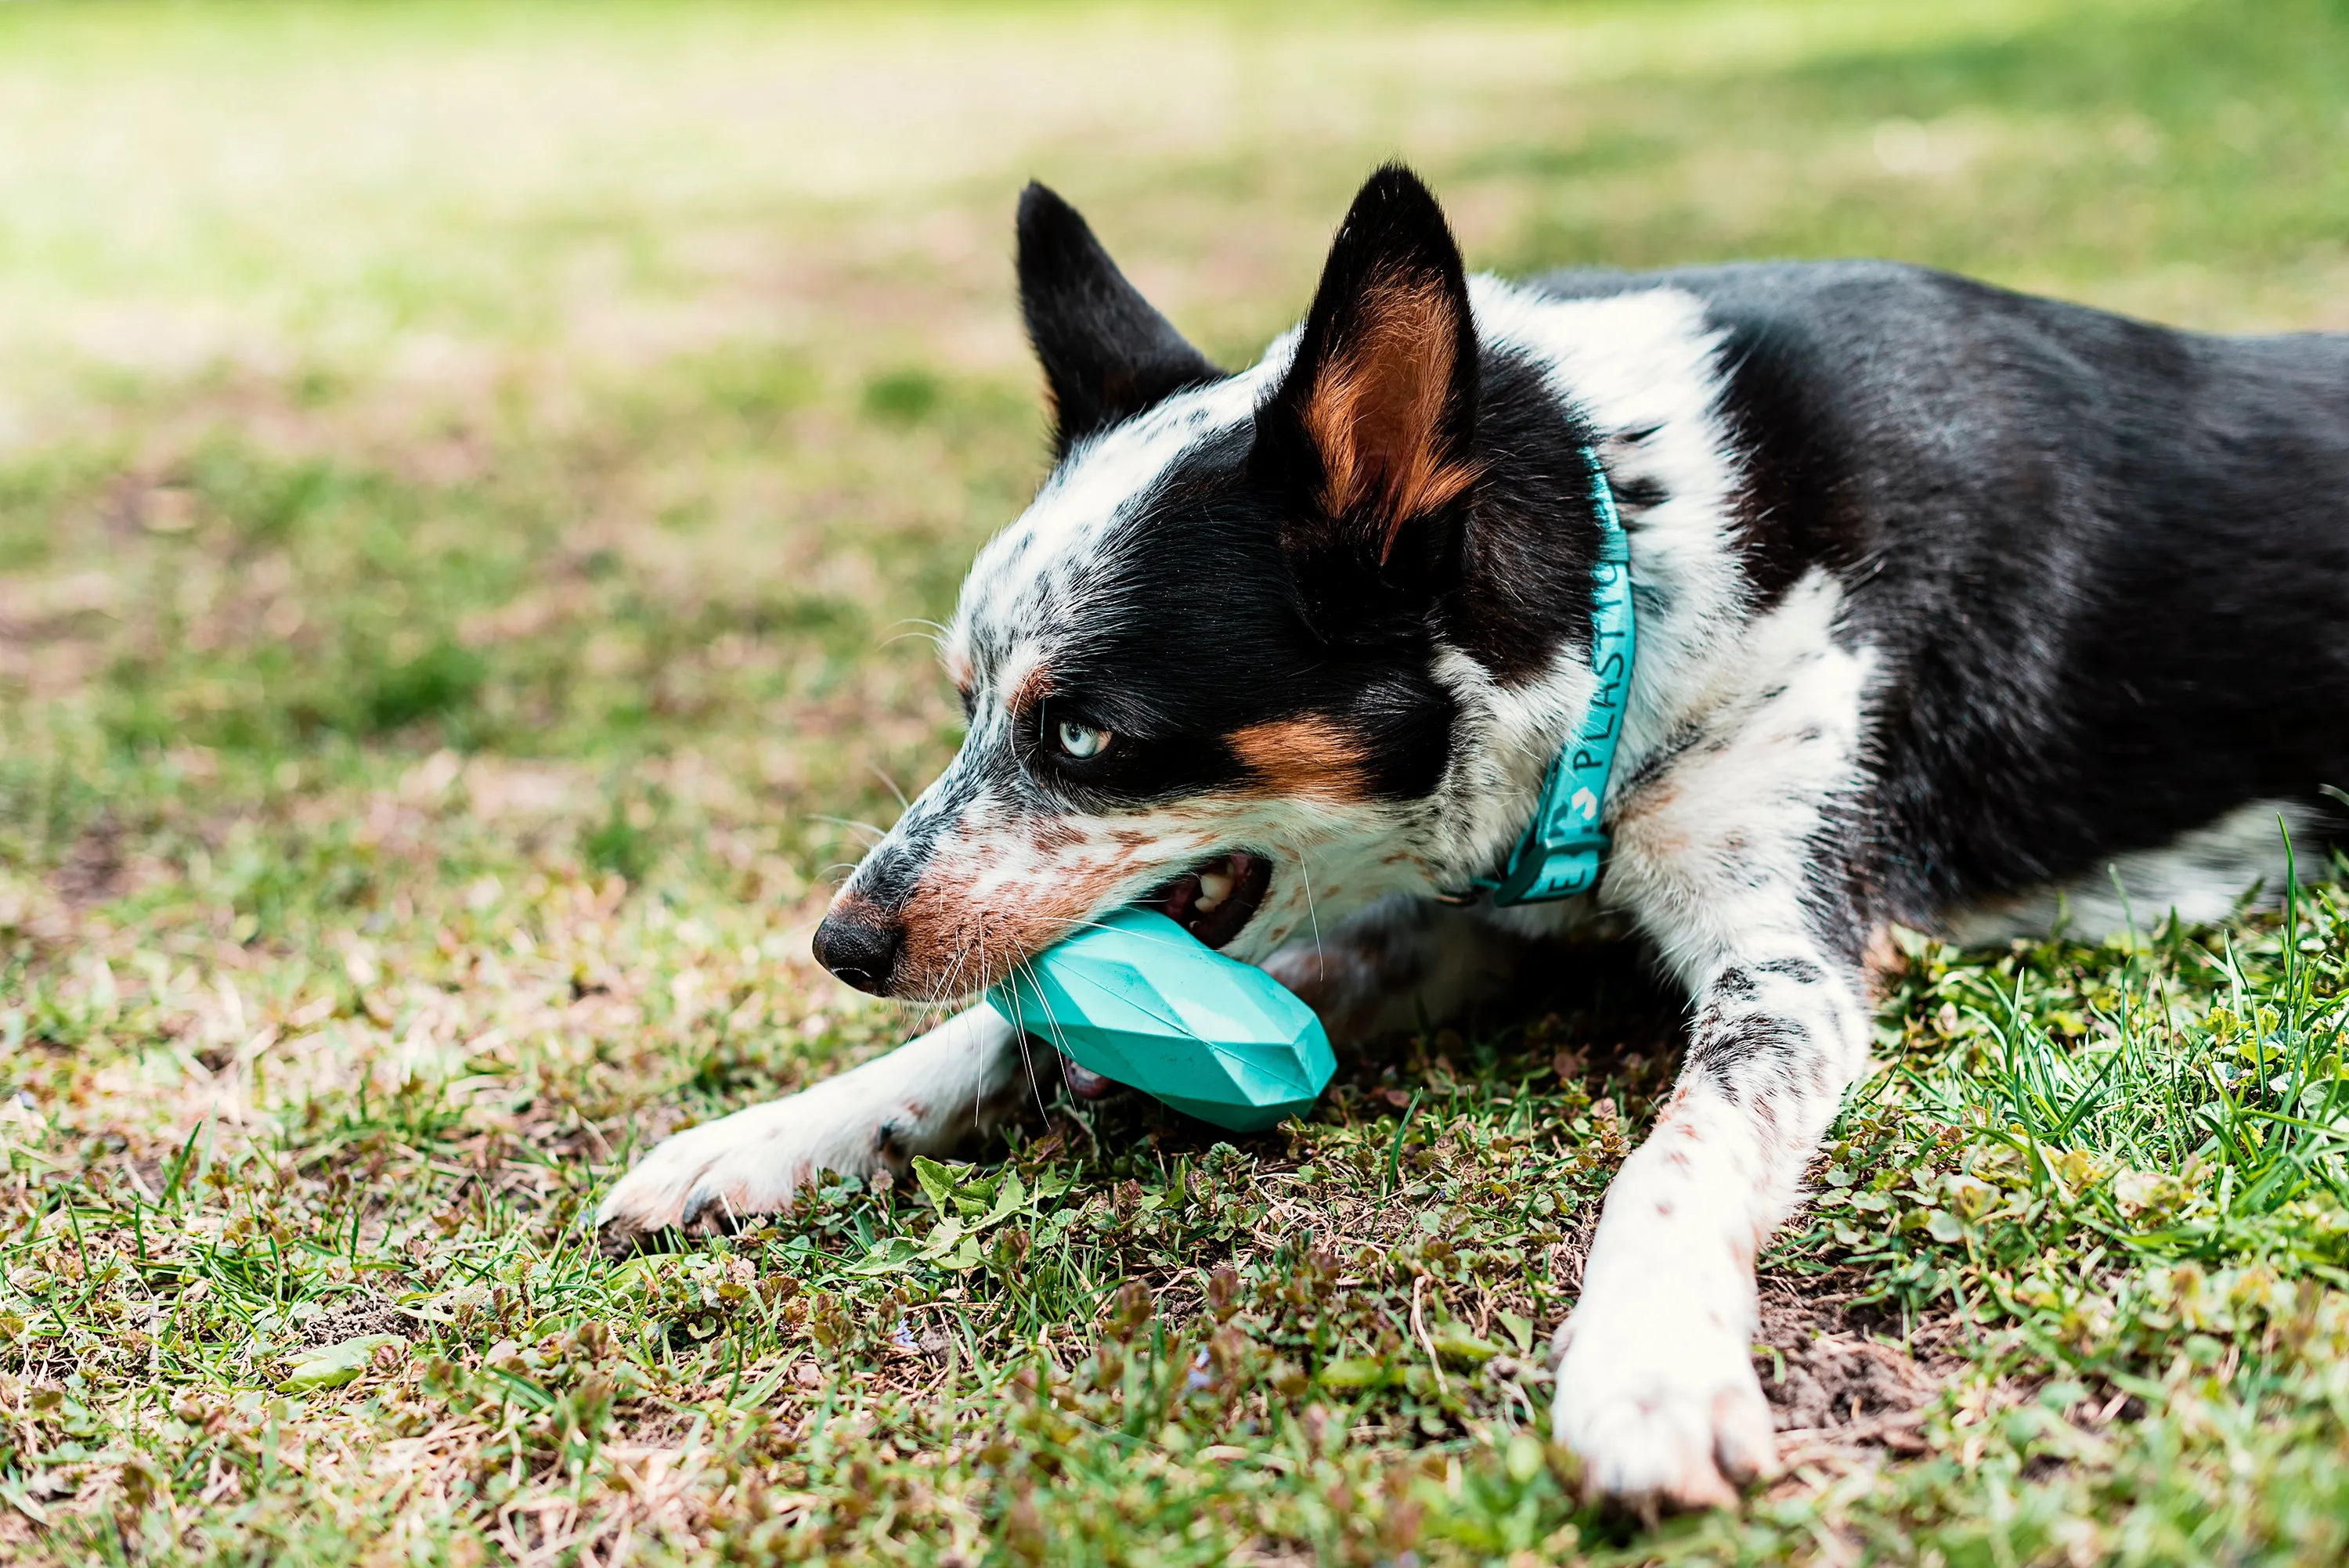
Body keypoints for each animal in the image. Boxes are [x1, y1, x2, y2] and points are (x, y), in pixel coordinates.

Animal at [592, 161, 2349, 1502]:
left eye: (1083, 732)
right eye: (964, 700)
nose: (841, 941)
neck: (1620, 563)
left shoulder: (1791, 965)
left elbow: (1676, 1157)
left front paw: (1646, 1363)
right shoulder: (1459, 922)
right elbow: (995, 1027)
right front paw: (766, 1133)